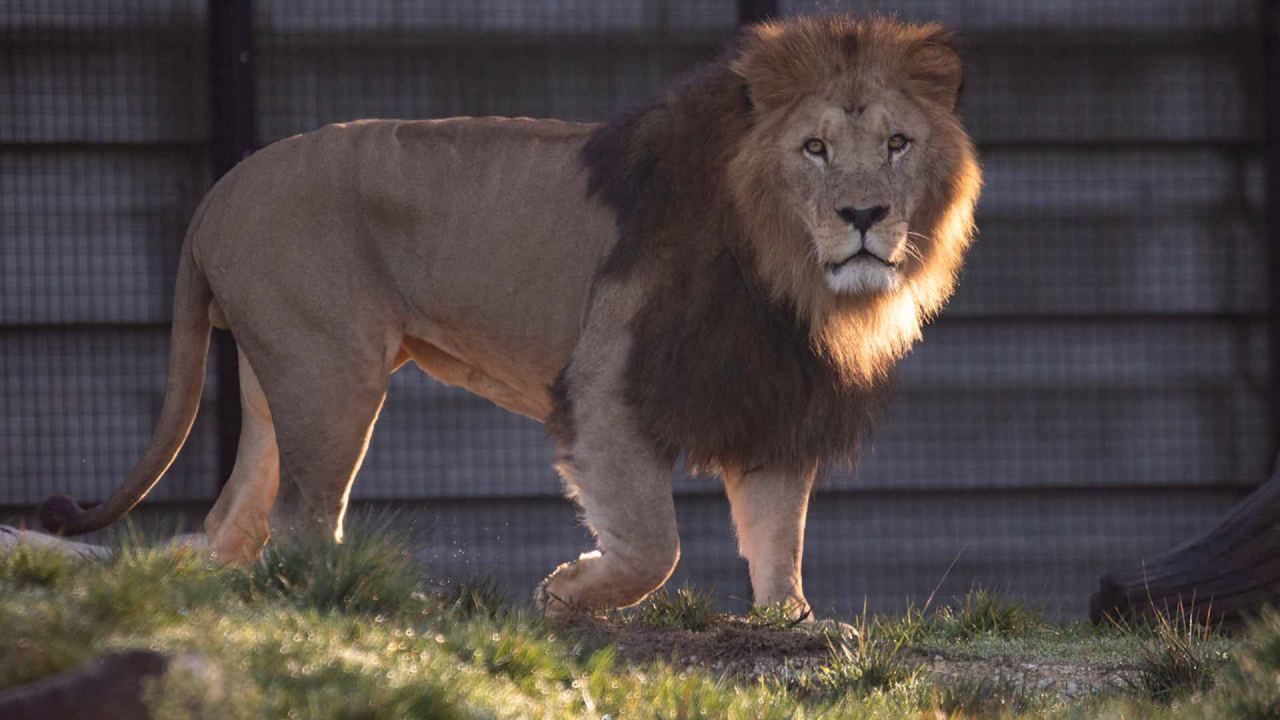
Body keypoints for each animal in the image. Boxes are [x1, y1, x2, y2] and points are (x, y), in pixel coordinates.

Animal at [37, 15, 980, 620]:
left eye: (896, 144)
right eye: (814, 149)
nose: (864, 215)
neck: (787, 274)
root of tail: (220, 192)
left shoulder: (769, 394)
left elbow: (780, 537)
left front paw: (792, 625)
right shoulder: (607, 385)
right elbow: (653, 544)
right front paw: (568, 591)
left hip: (279, 387)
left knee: (231, 526)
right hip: (331, 378)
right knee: (301, 524)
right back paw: (368, 600)